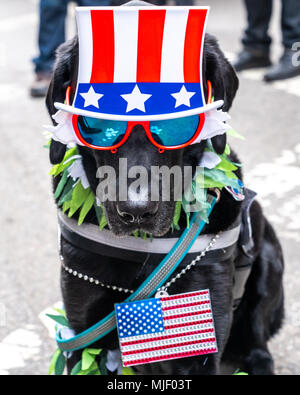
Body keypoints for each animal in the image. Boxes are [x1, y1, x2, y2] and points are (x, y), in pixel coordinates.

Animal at [46, 1, 284, 378]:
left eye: (177, 123)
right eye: (97, 124)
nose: (136, 212)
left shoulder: (201, 344)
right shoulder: (83, 335)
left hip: (270, 260)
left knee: (259, 342)